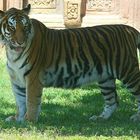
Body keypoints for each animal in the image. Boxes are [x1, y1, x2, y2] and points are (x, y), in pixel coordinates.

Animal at [0, 4, 140, 122]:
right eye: (12, 27)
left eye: (25, 26)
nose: (21, 42)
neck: (12, 53)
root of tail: (129, 29)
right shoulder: (17, 80)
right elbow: (20, 102)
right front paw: (17, 119)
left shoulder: (33, 78)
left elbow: (31, 101)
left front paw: (29, 121)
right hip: (106, 78)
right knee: (112, 101)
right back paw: (100, 118)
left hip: (128, 71)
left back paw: (135, 118)